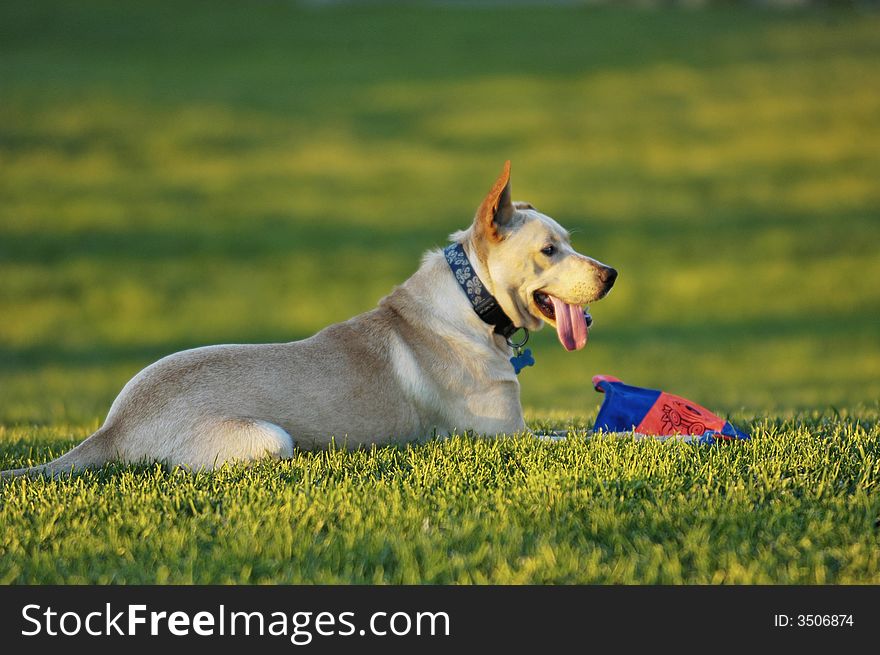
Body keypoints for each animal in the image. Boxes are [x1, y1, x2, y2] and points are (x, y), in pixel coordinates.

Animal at [1, 159, 620, 476]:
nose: (612, 273)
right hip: (269, 439)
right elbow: (583, 436)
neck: (472, 302)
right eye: (549, 251)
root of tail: (113, 427)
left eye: (569, 242)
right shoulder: (505, 436)